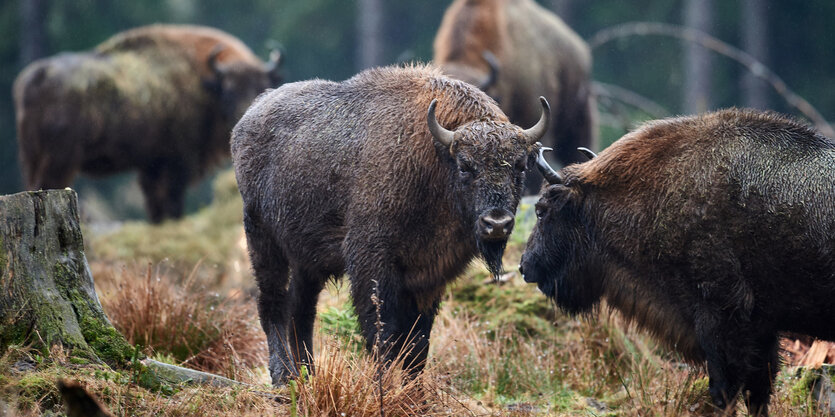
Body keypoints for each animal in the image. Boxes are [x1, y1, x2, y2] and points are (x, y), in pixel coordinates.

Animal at [13, 24, 280, 223]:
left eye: (260, 87)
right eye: (228, 91)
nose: (244, 116)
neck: (203, 79)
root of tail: (35, 78)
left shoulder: (152, 166)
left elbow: (156, 205)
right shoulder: (176, 163)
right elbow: (170, 203)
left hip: (32, 158)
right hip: (60, 160)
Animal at [232, 63, 552, 386]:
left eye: (520, 165)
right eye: (465, 166)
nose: (496, 223)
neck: (435, 158)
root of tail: (248, 118)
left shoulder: (428, 277)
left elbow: (418, 343)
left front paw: (414, 392)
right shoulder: (372, 264)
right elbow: (381, 333)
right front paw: (382, 385)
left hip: (306, 260)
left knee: (302, 311)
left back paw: (307, 375)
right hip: (263, 240)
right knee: (273, 304)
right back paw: (284, 377)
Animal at [520, 109, 835, 414]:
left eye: (541, 210)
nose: (525, 266)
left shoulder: (721, 319)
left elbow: (725, 391)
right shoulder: (761, 330)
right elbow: (757, 393)